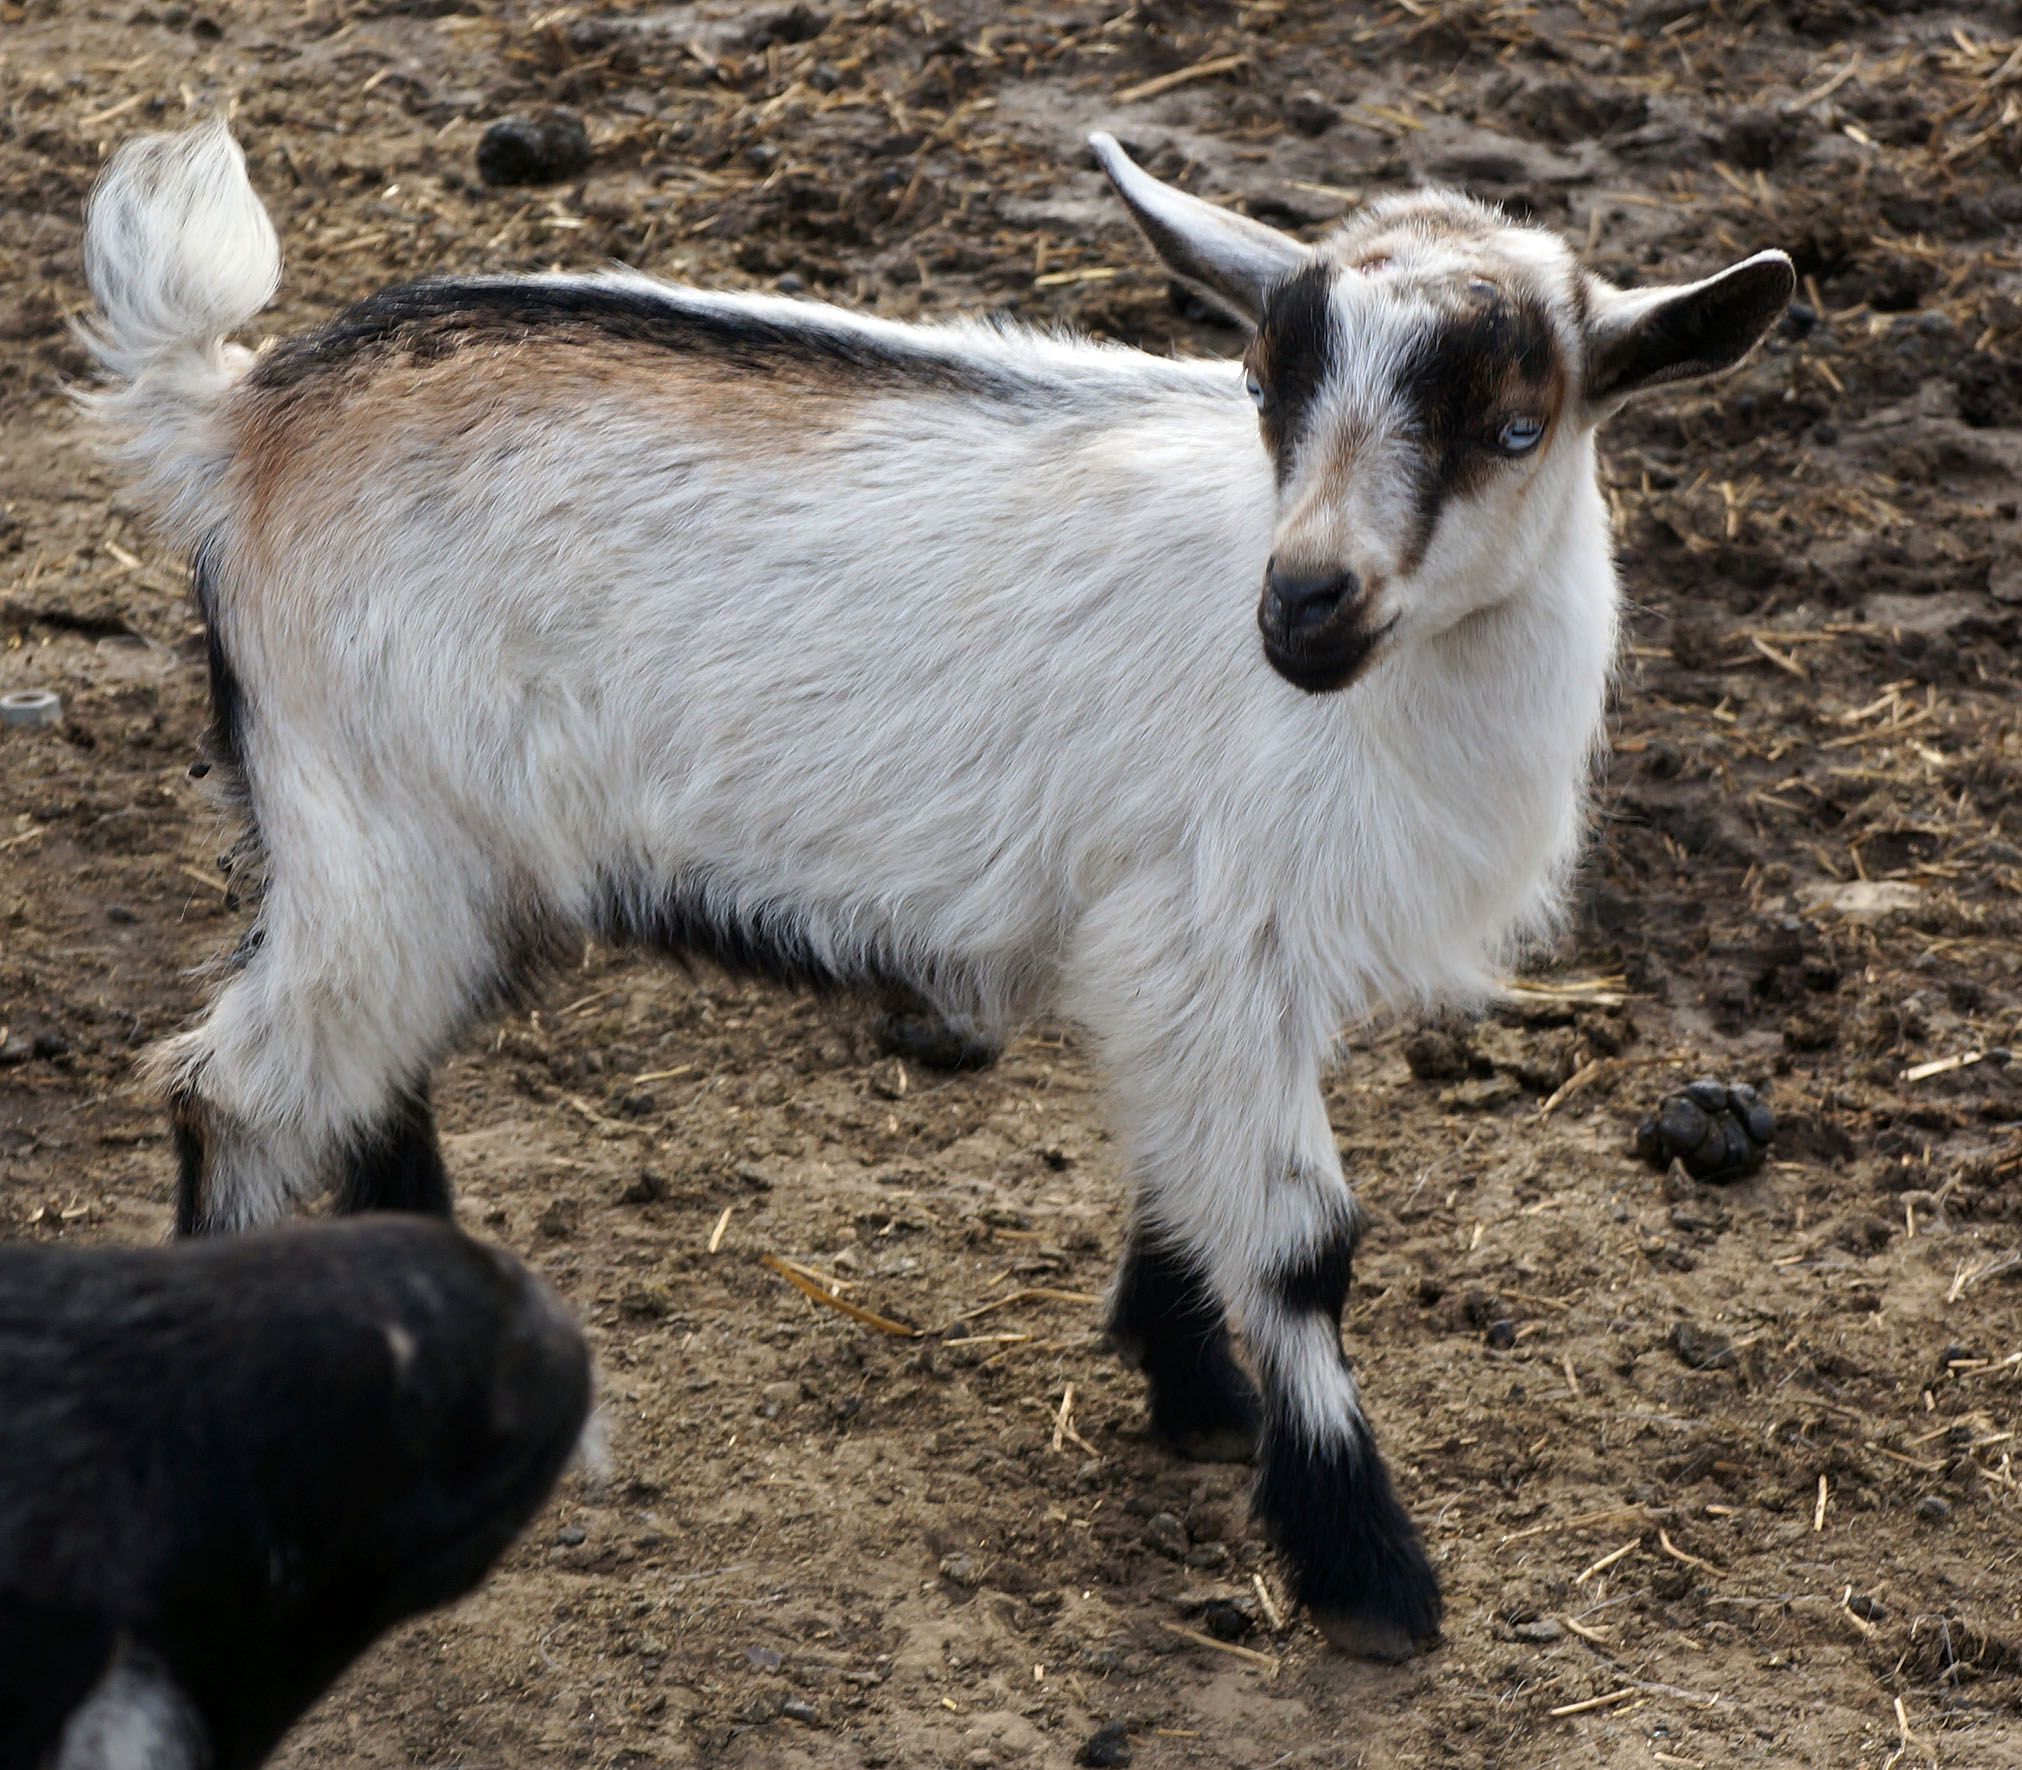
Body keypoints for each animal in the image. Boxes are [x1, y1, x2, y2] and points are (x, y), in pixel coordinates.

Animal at [78, 117, 1795, 1650]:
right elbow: (1304, 1242)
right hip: (375, 822)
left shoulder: (1193, 955)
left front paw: (1196, 1396)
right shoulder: (1206, 934)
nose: (1303, 607)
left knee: (364, 1079)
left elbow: (1179, 1165)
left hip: (413, 852)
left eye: (1513, 428)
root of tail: (239, 422)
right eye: (1264, 386)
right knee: (241, 1094)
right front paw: (1368, 1574)